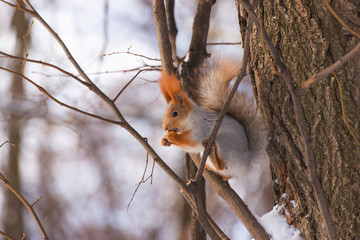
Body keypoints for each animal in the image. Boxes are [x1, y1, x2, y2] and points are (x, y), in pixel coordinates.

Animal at [160, 58, 272, 216]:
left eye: (175, 114)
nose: (165, 127)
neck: (191, 120)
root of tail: (247, 161)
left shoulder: (200, 130)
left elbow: (190, 142)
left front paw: (172, 137)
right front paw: (164, 140)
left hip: (223, 144)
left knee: (222, 164)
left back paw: (213, 155)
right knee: (226, 173)